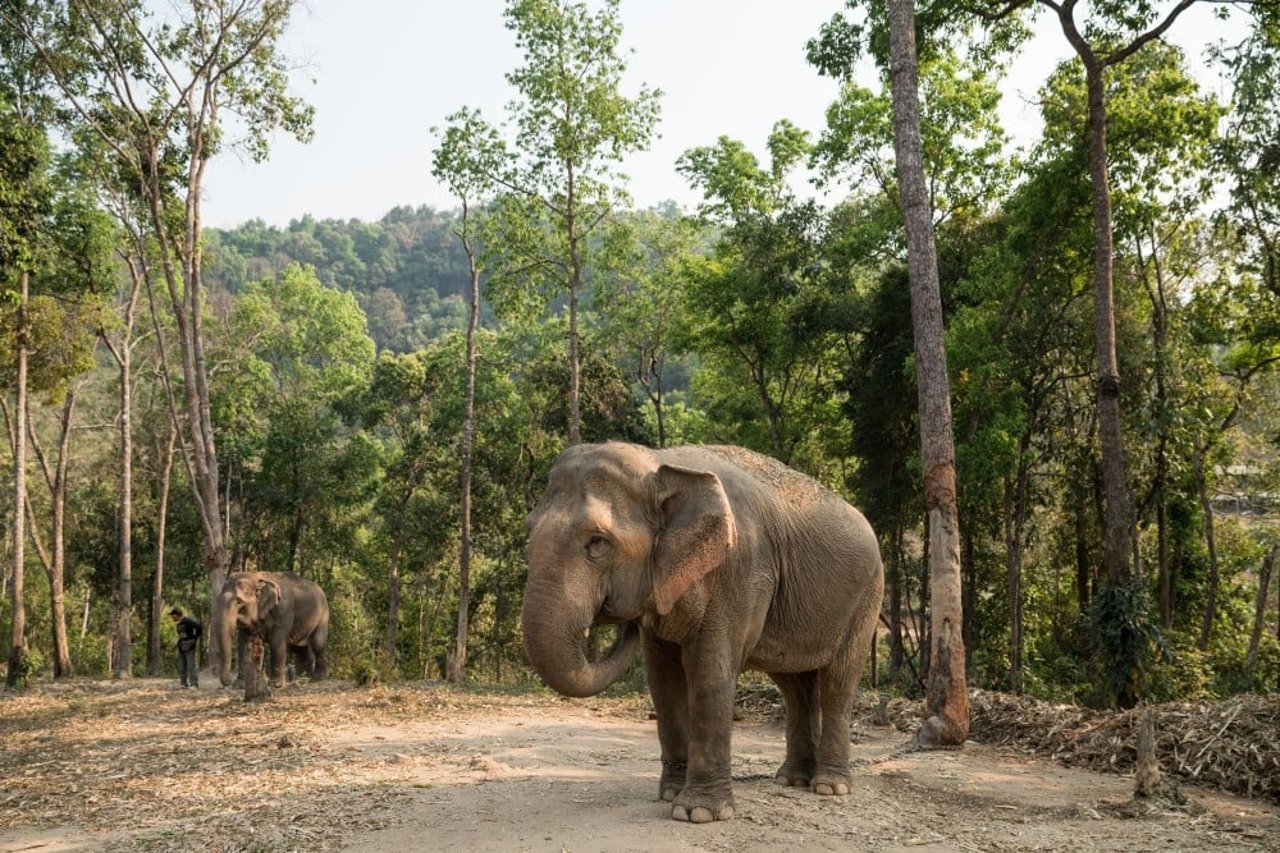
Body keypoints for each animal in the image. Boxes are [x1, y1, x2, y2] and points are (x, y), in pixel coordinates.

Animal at [519, 440, 880, 819]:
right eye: (528, 535)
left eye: (598, 542)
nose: (624, 622)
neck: (660, 462)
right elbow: (663, 680)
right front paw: (670, 796)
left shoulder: (740, 571)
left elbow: (709, 669)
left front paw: (698, 813)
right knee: (794, 685)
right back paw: (792, 780)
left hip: (867, 599)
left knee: (837, 683)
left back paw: (829, 787)